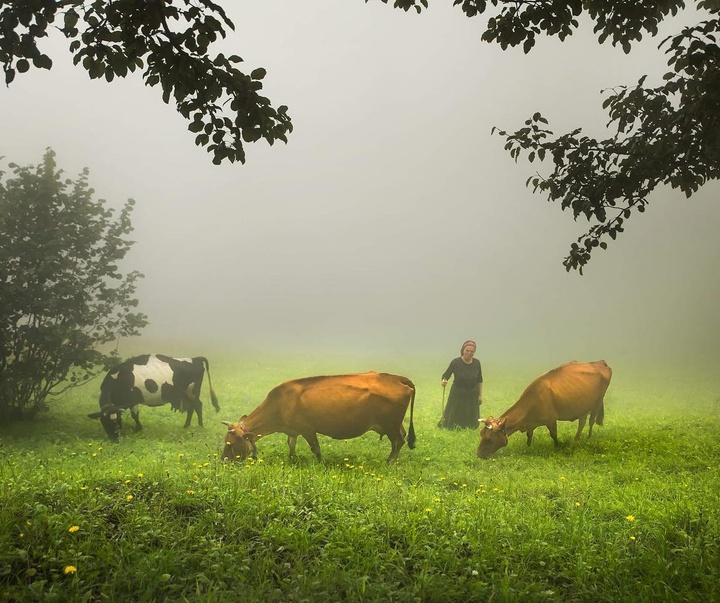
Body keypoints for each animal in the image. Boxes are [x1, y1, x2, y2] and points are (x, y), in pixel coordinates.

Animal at [87, 354, 218, 444]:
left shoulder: (132, 400)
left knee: (198, 406)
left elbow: (135, 415)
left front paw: (138, 428)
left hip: (192, 392)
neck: (118, 379)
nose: (115, 439)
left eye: (116, 421)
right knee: (192, 408)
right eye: (104, 422)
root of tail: (195, 358)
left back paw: (200, 425)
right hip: (186, 394)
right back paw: (186, 426)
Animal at [224, 370, 416, 464]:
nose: (223, 461)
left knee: (398, 441)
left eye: (231, 444)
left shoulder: (307, 429)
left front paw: (322, 463)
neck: (280, 403)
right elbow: (291, 444)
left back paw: (389, 462)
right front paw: (292, 459)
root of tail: (397, 378)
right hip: (394, 424)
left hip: (390, 424)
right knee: (402, 437)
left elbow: (315, 448)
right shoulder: (292, 430)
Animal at [476, 360, 612, 460]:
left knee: (591, 421)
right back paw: (576, 439)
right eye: (481, 434)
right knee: (582, 422)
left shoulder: (551, 420)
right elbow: (529, 435)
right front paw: (528, 446)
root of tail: (599, 362)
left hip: (597, 402)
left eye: (488, 439)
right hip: (582, 406)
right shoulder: (530, 423)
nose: (478, 454)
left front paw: (558, 446)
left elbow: (554, 435)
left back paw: (588, 437)